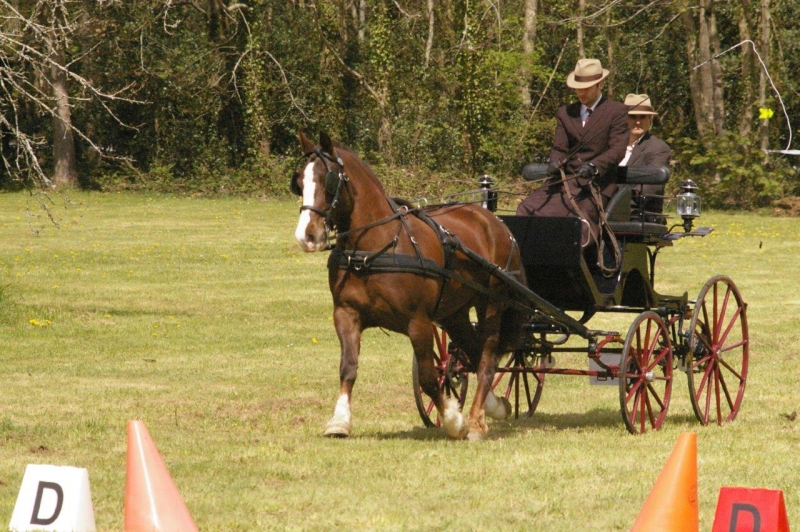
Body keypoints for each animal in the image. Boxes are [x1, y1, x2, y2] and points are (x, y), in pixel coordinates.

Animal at [294, 132, 524, 440]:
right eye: (299, 182)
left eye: (328, 180)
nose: (306, 236)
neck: (373, 248)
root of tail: (495, 222)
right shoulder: (345, 314)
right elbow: (348, 368)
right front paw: (339, 421)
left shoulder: (419, 323)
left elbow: (428, 377)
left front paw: (454, 420)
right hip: (454, 313)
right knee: (473, 354)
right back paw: (493, 407)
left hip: (491, 303)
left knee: (487, 359)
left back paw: (475, 421)